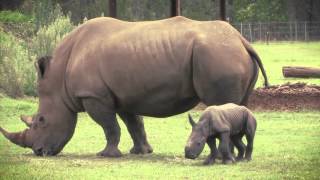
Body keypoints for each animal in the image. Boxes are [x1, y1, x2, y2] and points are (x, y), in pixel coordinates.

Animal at [0, 16, 268, 158]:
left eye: (41, 120)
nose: (38, 152)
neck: (59, 80)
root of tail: (242, 40)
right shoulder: (121, 95)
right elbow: (133, 123)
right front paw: (141, 152)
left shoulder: (94, 96)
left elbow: (110, 127)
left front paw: (106, 155)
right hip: (226, 53)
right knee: (240, 109)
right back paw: (237, 156)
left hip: (218, 55)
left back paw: (225, 157)